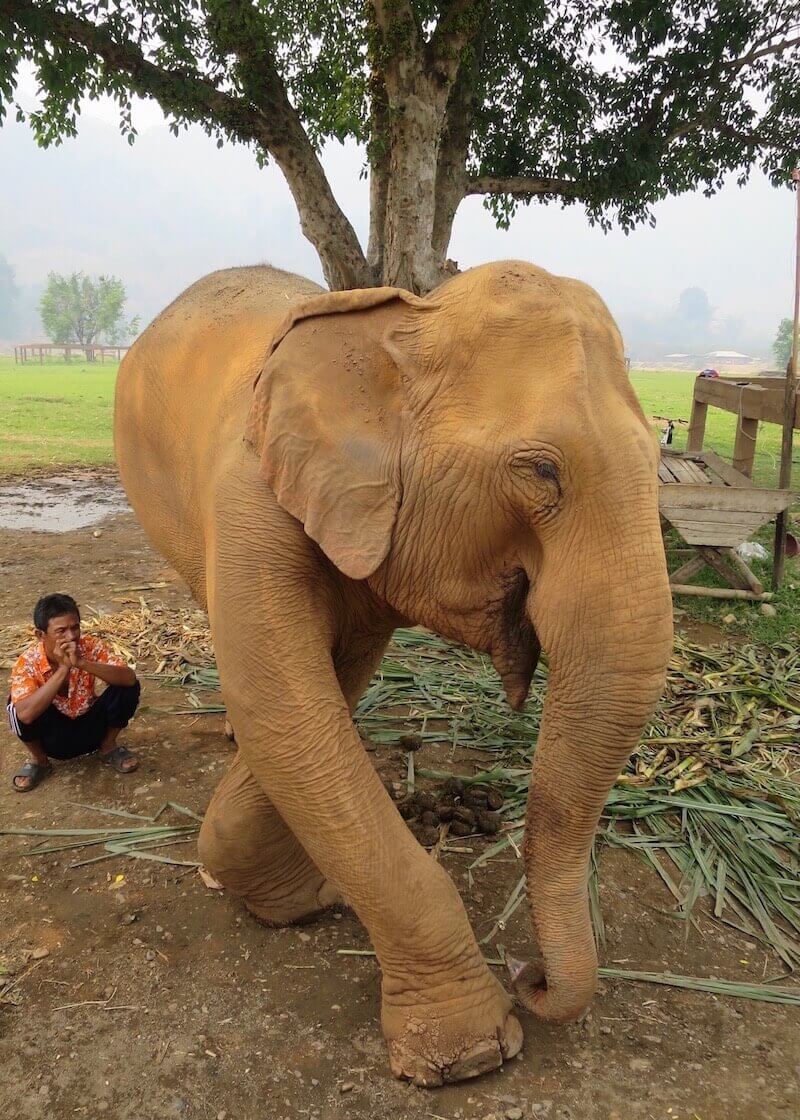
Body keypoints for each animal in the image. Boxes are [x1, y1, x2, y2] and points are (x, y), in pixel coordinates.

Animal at [113, 259, 672, 1084]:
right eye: (543, 471)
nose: (529, 975)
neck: (405, 322)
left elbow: (322, 694)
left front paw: (299, 896)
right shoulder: (252, 500)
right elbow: (284, 708)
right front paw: (469, 1056)